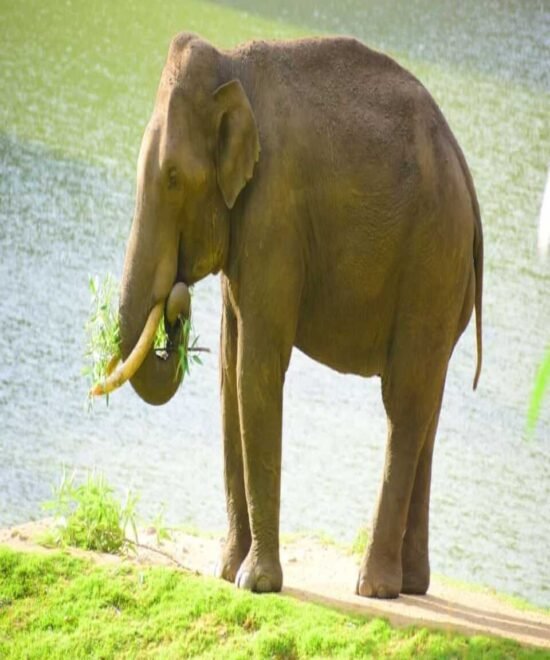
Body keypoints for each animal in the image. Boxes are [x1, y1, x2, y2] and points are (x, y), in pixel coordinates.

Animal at [116, 32, 484, 600]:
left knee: (404, 403)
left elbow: (256, 370)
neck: (230, 68)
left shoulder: (274, 211)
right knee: (429, 402)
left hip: (431, 260)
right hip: (442, 277)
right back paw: (413, 585)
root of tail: (466, 176)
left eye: (173, 178)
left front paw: (255, 583)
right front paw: (226, 570)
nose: (177, 303)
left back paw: (374, 588)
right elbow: (229, 372)